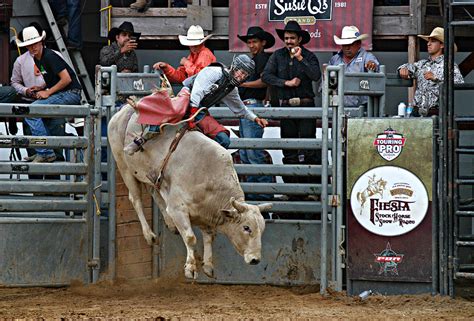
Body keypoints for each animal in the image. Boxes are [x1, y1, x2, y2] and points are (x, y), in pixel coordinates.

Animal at [107, 105, 270, 278]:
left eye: (262, 229)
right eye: (246, 227)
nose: (255, 259)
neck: (209, 178)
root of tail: (123, 110)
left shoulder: (205, 214)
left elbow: (209, 237)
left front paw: (208, 265)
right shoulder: (178, 209)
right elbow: (191, 238)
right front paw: (190, 268)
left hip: (150, 175)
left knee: (155, 193)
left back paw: (170, 224)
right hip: (123, 165)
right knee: (135, 198)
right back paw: (149, 235)